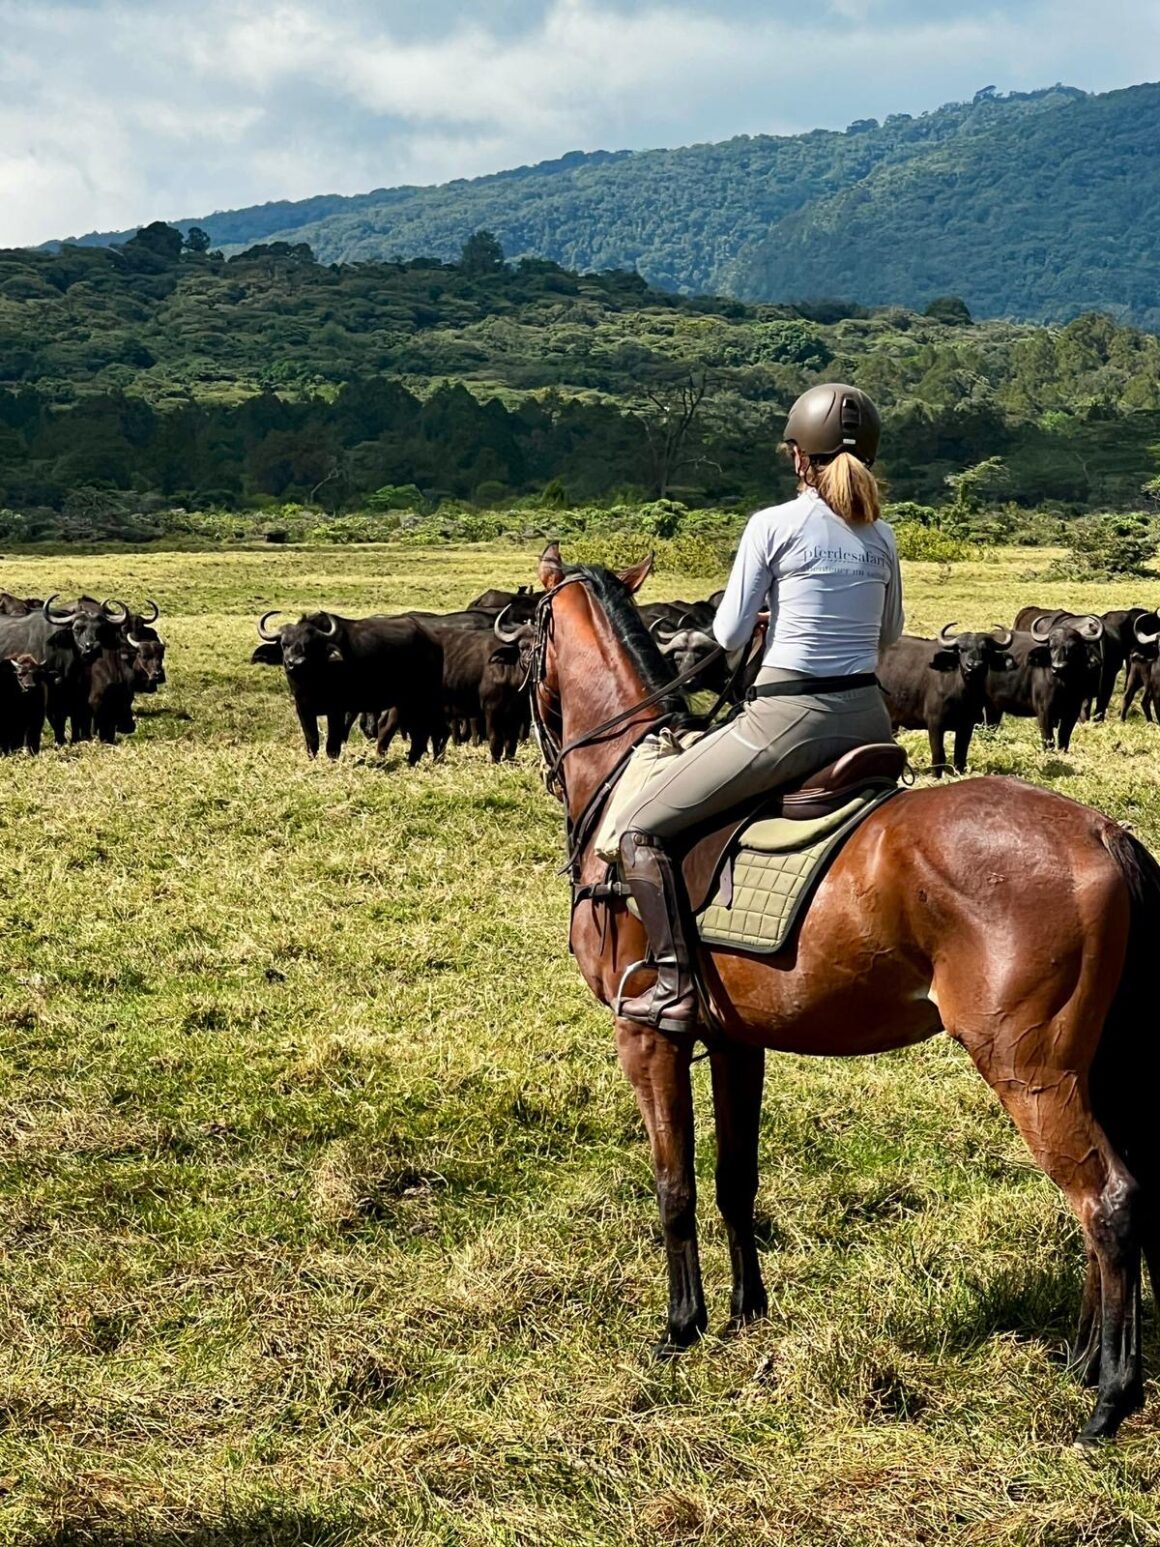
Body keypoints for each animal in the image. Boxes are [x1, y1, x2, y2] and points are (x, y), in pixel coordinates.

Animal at [535, 538, 1160, 1441]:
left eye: (525, 634)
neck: (632, 782)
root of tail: (1104, 832)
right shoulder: (737, 1041)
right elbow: (735, 1180)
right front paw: (746, 1309)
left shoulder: (646, 1035)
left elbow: (673, 1184)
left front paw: (681, 1325)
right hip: (1091, 1065)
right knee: (1111, 1198)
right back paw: (1082, 1360)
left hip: (1032, 1070)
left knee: (1106, 1200)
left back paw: (1110, 1394)